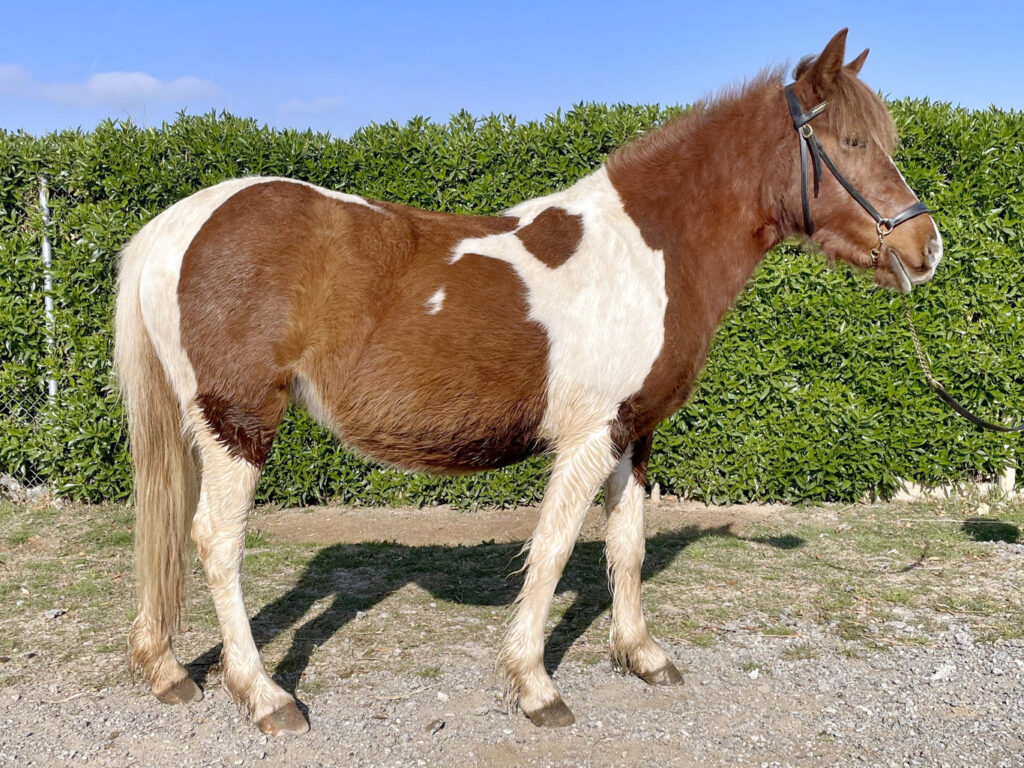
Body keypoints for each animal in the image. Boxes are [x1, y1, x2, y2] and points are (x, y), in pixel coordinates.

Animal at [114, 29, 942, 735]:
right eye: (853, 142)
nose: (927, 247)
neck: (647, 251)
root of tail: (177, 224)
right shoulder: (590, 434)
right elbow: (551, 551)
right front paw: (535, 686)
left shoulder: (634, 432)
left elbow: (626, 547)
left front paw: (642, 656)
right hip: (239, 422)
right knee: (216, 541)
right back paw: (264, 697)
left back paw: (167, 671)